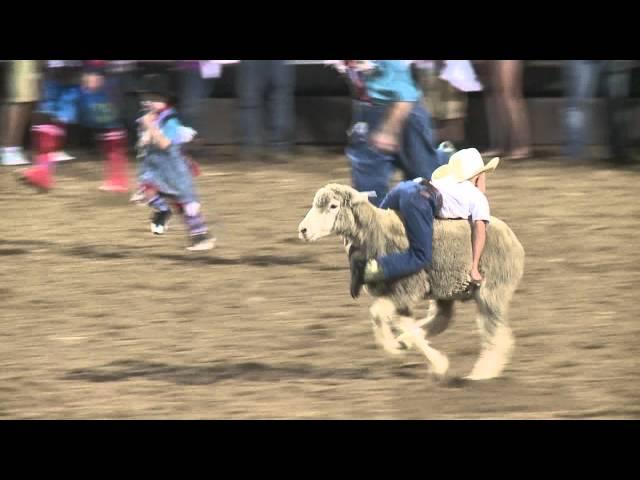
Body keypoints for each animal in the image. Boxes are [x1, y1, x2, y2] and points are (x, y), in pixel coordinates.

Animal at [296, 182, 524, 380]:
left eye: (333, 206)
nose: (303, 230)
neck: (376, 232)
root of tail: (513, 239)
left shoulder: (406, 287)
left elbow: (378, 314)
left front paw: (409, 354)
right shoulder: (398, 293)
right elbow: (403, 321)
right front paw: (414, 350)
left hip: (491, 291)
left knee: (496, 334)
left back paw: (482, 374)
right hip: (446, 286)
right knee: (442, 318)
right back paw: (407, 340)